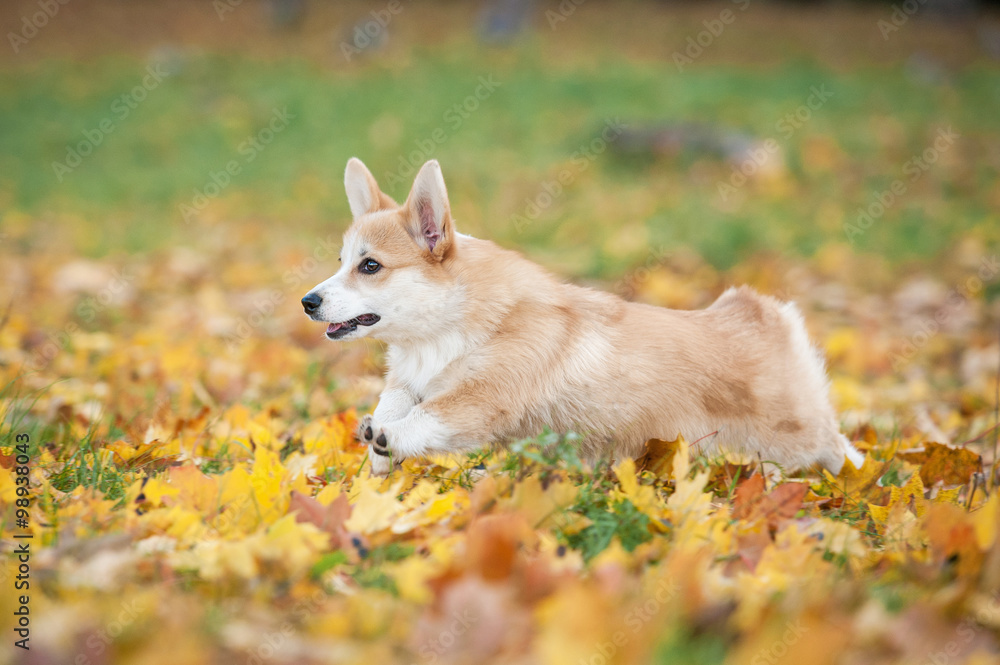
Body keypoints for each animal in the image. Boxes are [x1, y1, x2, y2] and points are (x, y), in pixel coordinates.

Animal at [300, 158, 864, 474]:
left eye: (370, 266)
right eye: (341, 262)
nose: (308, 302)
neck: (449, 329)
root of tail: (760, 315)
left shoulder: (482, 402)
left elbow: (426, 416)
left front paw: (389, 439)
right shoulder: (409, 379)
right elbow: (394, 400)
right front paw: (377, 446)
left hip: (795, 437)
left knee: (839, 447)